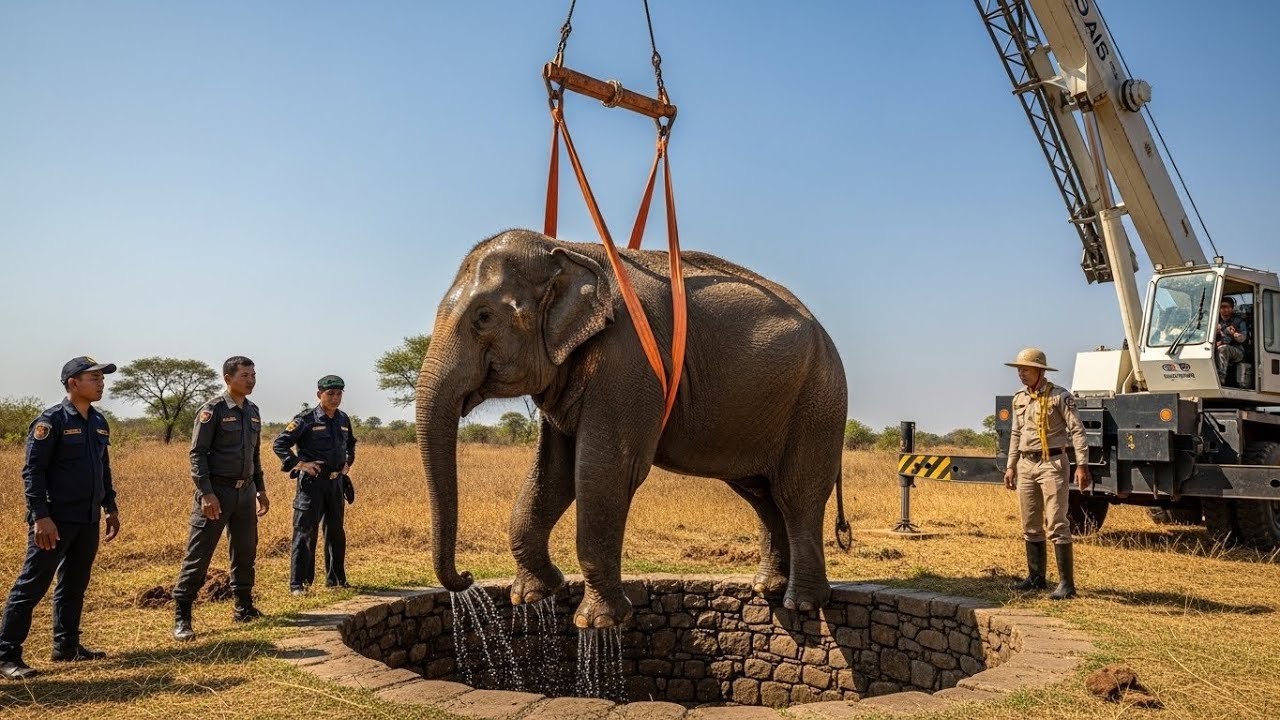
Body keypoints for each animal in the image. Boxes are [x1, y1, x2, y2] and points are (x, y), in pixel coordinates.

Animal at [416, 229, 847, 629]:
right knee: (760, 494)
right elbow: (553, 472)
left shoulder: (628, 362)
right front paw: (533, 596)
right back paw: (767, 588)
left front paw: (598, 623)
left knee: (795, 496)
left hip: (818, 401)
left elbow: (604, 472)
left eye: (483, 317)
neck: (565, 249)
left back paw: (802, 604)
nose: (467, 577)